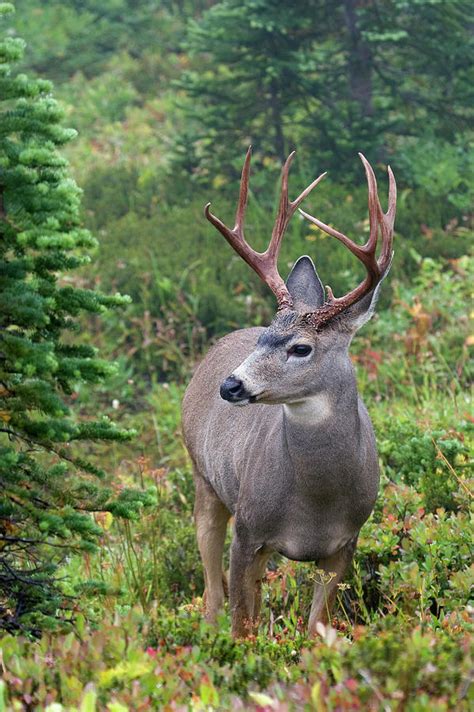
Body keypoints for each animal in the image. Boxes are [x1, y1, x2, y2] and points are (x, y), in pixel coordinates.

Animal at [181, 147, 396, 636]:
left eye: (301, 348)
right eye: (264, 337)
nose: (231, 384)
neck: (315, 503)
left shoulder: (346, 541)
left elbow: (317, 626)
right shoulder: (249, 530)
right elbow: (241, 625)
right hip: (204, 479)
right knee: (212, 591)